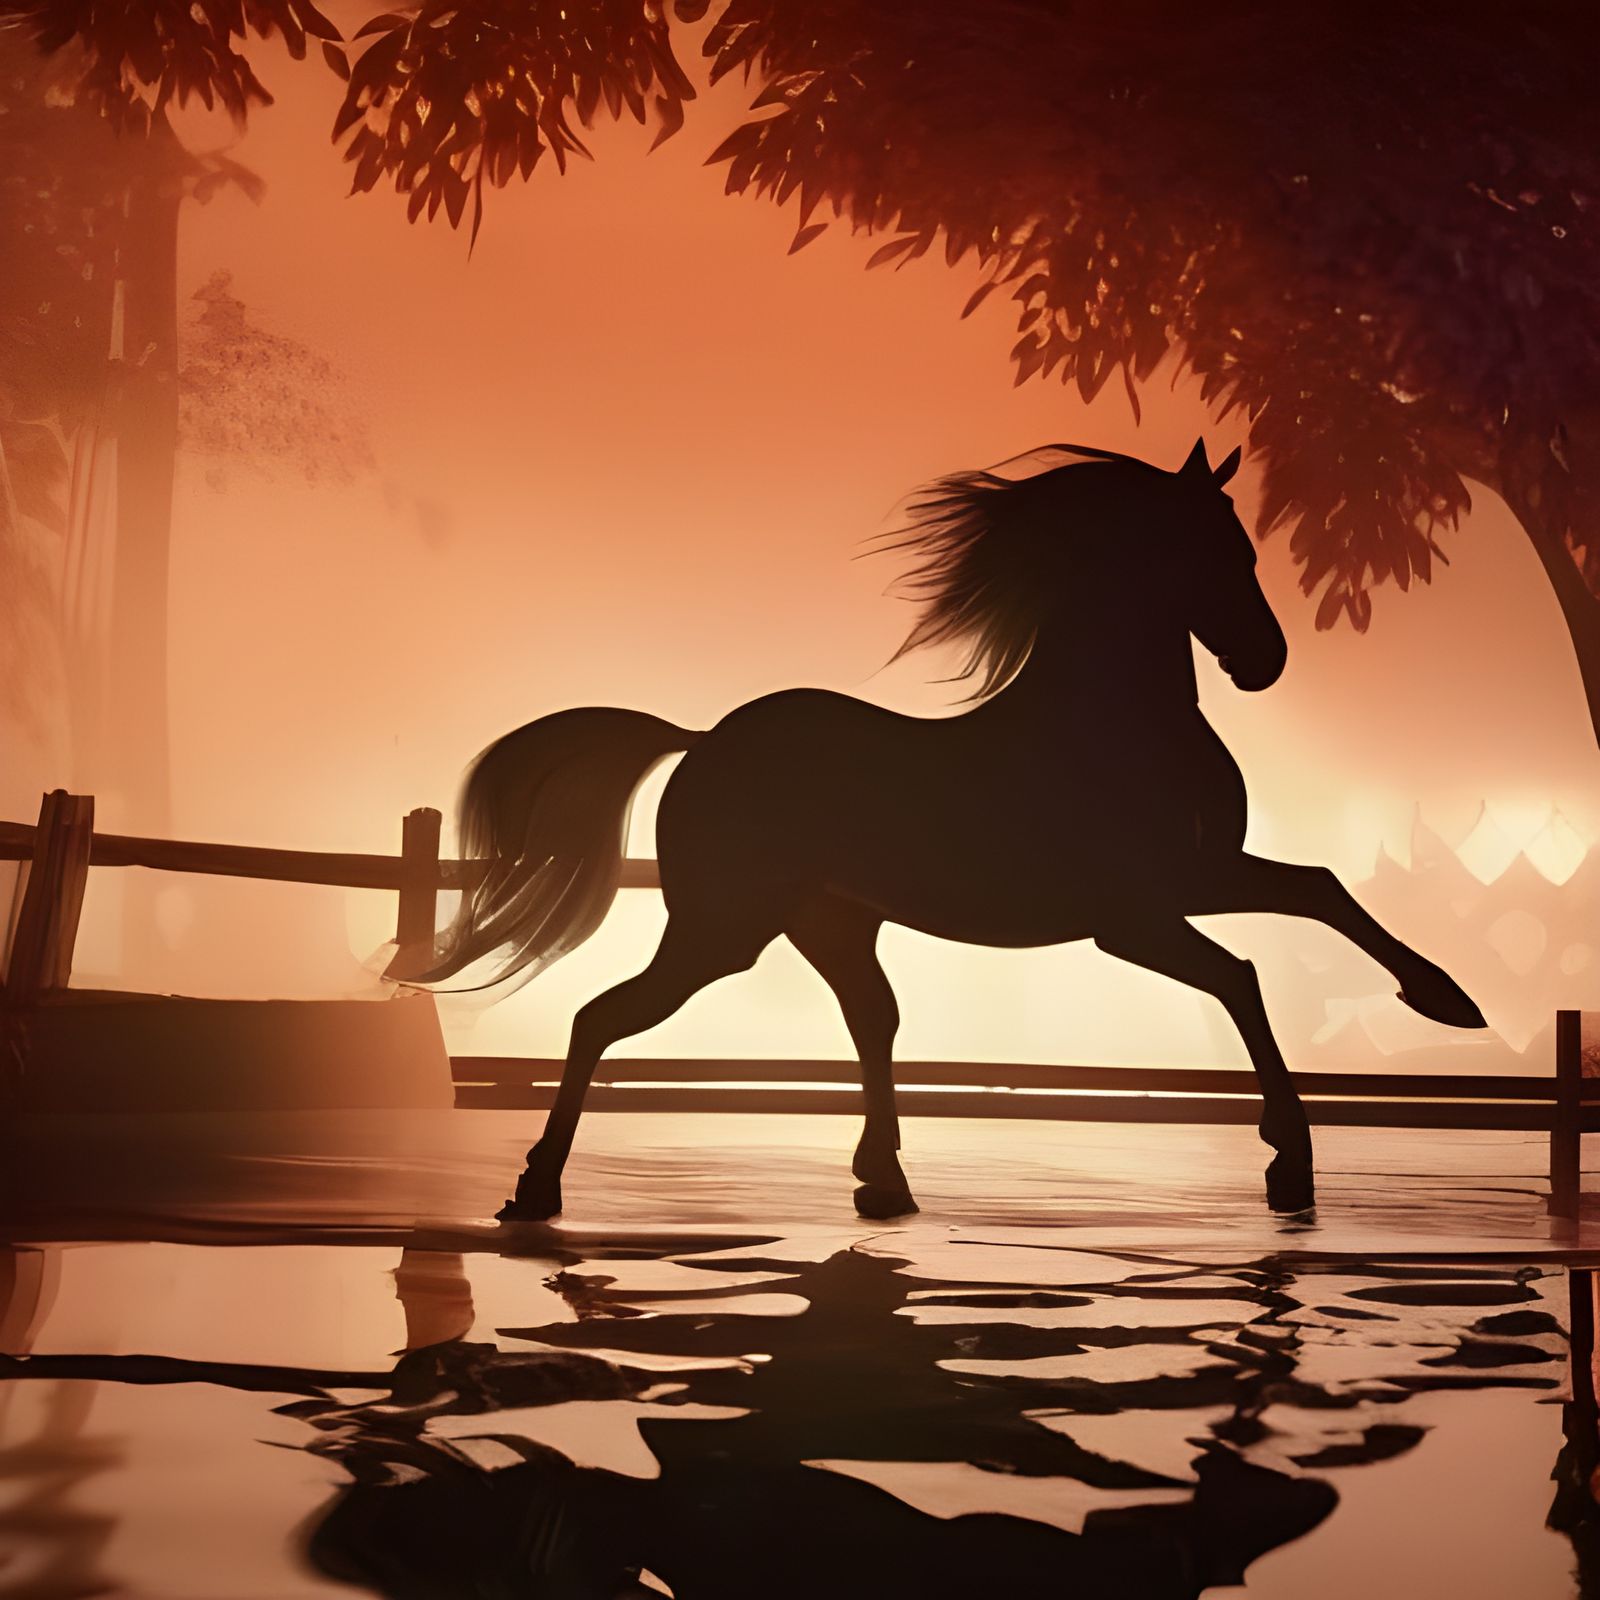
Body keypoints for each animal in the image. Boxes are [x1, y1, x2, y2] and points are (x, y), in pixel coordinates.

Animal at [417, 438, 1486, 1223]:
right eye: (1218, 549)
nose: (1265, 662)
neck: (1105, 724)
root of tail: (703, 739)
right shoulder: (1134, 918)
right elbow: (1244, 976)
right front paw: (1289, 1161)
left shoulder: (1197, 875)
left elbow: (1318, 888)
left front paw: (1447, 1001)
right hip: (724, 931)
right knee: (601, 1016)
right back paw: (535, 1189)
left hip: (829, 926)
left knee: (872, 1021)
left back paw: (884, 1184)